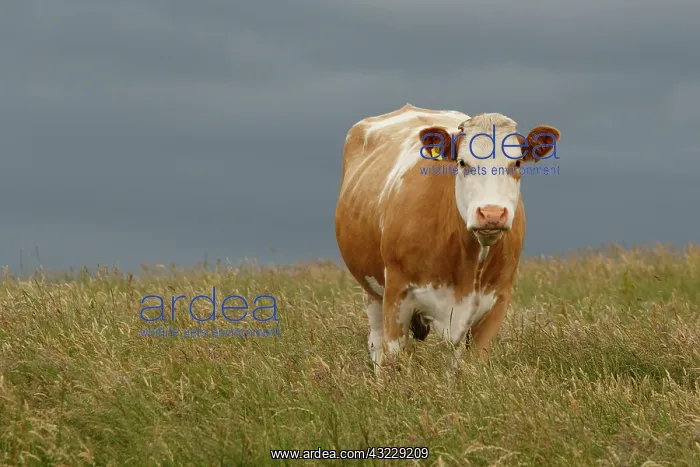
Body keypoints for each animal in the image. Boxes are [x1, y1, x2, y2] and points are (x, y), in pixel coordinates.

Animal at [334, 104, 560, 374]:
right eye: (462, 163)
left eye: (516, 163)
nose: (491, 214)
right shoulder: (397, 295)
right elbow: (395, 361)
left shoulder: (497, 300)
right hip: (371, 291)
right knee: (377, 346)